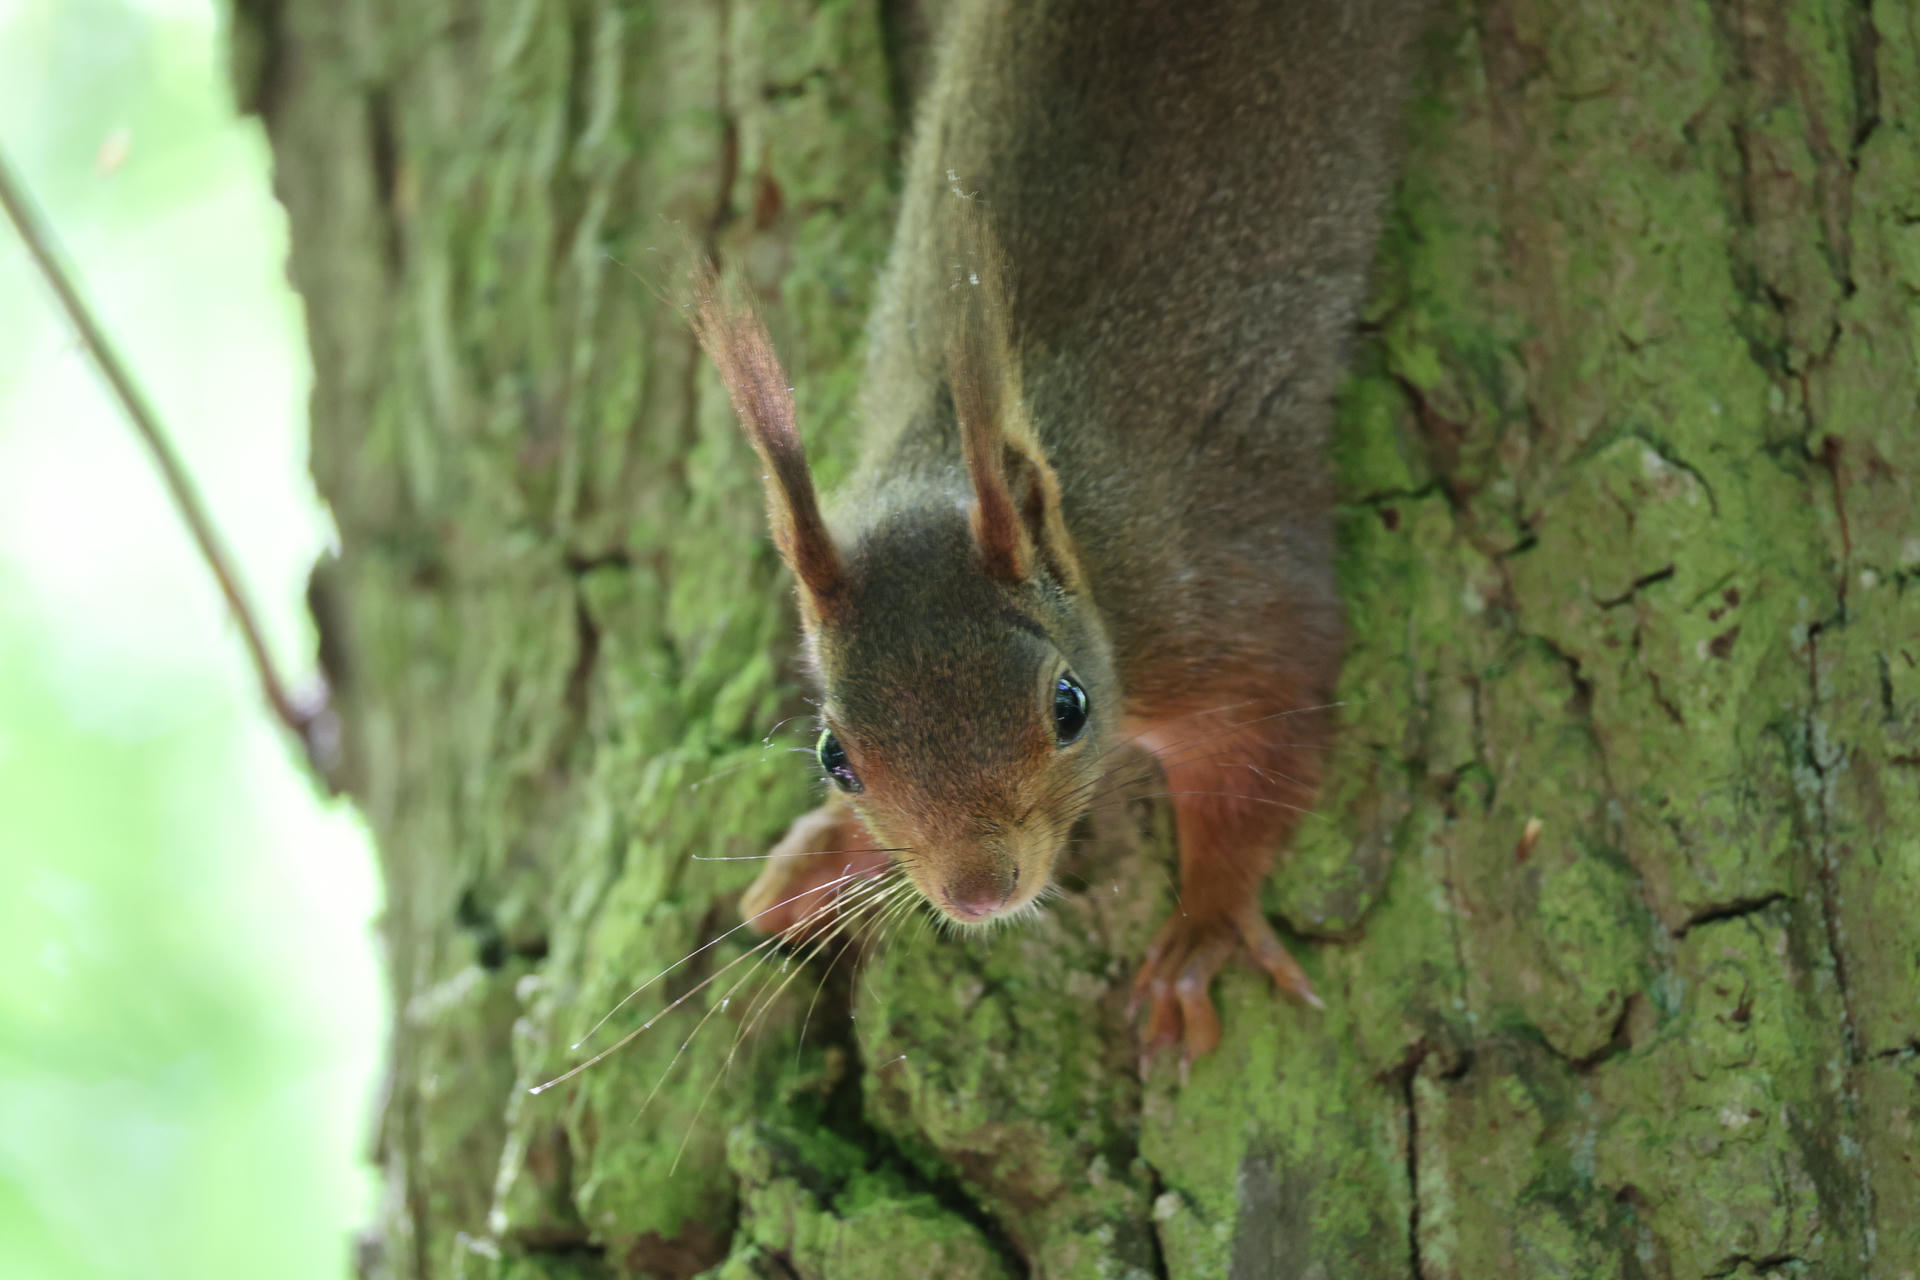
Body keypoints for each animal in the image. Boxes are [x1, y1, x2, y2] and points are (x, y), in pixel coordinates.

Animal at [690, 0, 1422, 1064]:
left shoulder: (1215, 595)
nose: (976, 891)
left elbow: (1264, 744)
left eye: (1069, 707)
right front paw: (820, 856)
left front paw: (1202, 926)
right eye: (836, 757)